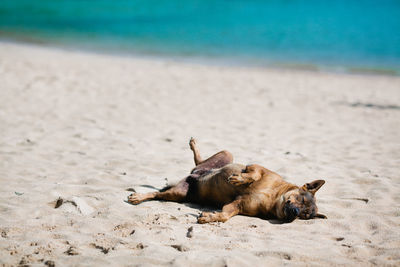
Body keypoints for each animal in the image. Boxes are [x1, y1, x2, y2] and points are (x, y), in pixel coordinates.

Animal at [126, 138, 326, 224]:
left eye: (305, 216)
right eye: (301, 199)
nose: (294, 213)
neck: (273, 198)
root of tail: (195, 174)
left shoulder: (236, 205)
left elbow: (224, 215)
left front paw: (210, 217)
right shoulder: (258, 167)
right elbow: (253, 174)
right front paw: (240, 179)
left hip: (179, 194)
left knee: (161, 193)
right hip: (226, 155)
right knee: (156, 192)